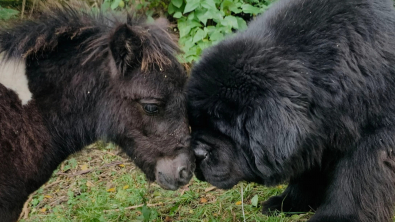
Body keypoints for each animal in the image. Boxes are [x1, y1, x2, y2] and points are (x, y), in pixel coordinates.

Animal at [187, 0, 395, 220]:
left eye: (225, 130)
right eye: (194, 124)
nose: (197, 154)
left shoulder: (374, 137)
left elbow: (356, 181)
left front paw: (337, 216)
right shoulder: (315, 132)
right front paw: (289, 202)